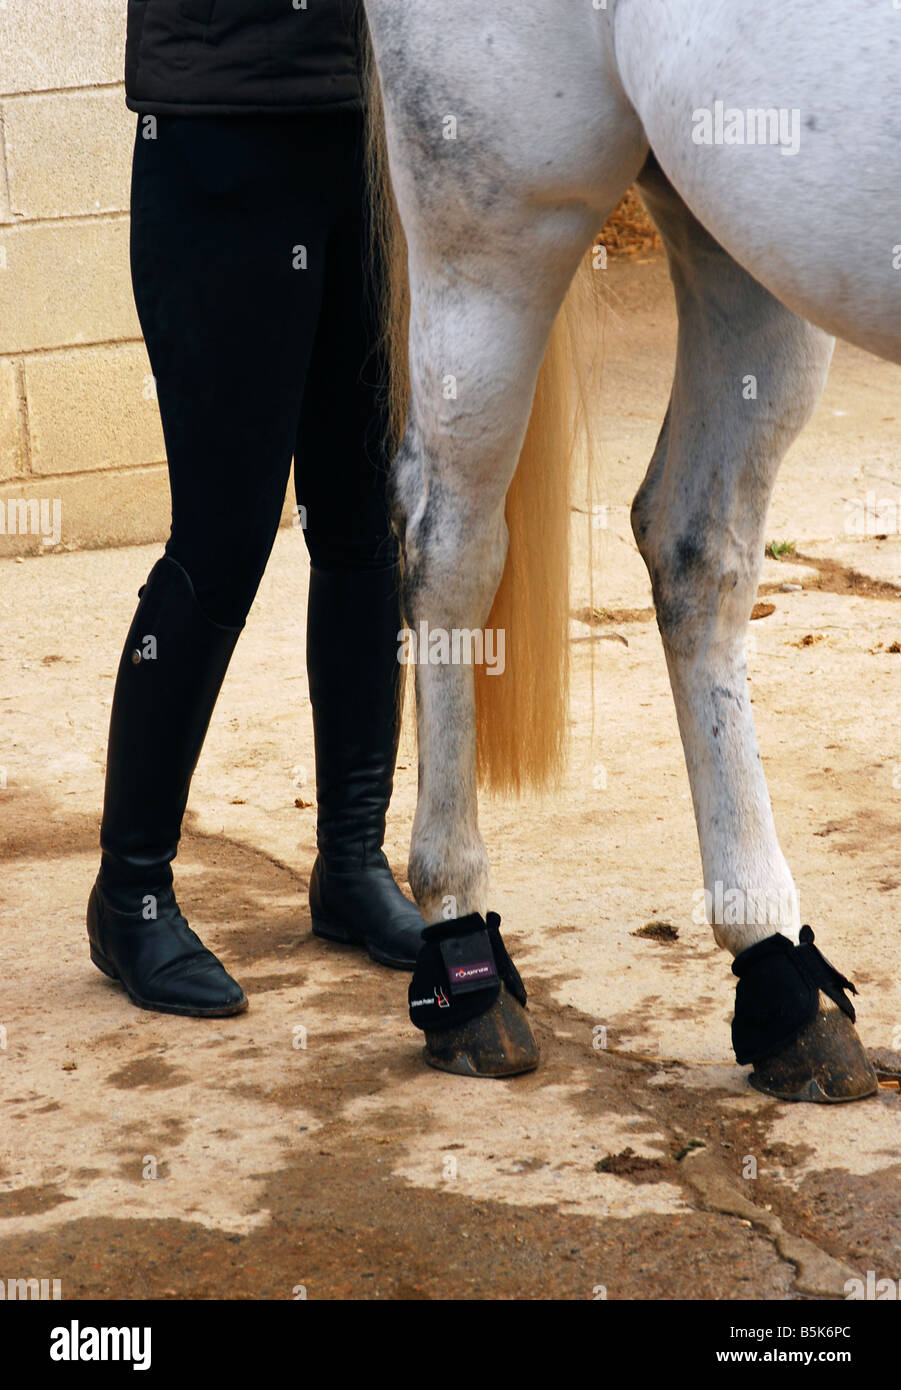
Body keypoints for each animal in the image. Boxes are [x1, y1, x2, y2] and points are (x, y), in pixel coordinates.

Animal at [359, 0, 899, 1101]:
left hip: (739, 238)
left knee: (696, 546)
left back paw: (779, 980)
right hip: (499, 219)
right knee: (449, 542)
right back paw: (463, 954)